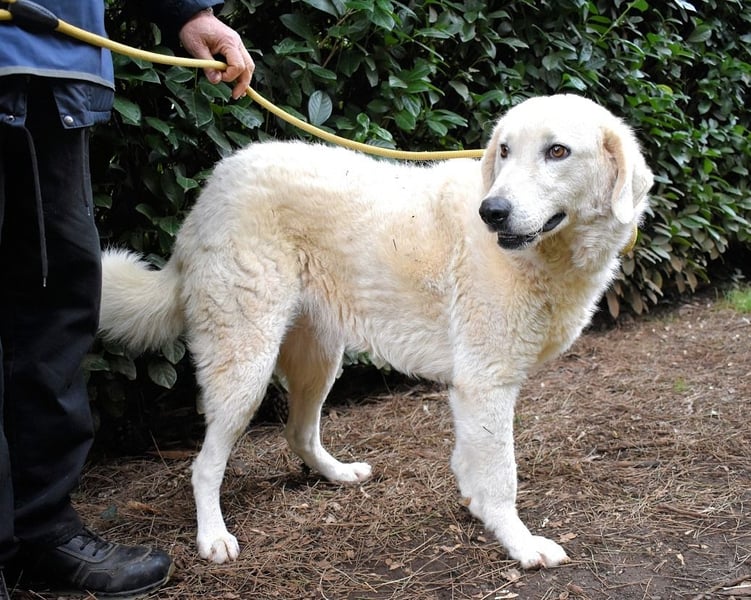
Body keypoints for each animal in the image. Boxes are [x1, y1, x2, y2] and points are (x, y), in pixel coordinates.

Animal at [99, 94, 653, 568]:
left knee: (299, 433)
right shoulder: (485, 384)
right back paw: (213, 537)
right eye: (505, 151)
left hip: (319, 361)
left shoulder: (474, 392)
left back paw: (337, 474)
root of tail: (212, 188)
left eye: (557, 151)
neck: (550, 257)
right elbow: (502, 478)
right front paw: (520, 544)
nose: (491, 212)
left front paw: (479, 513)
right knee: (204, 465)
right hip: (245, 367)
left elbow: (475, 471)